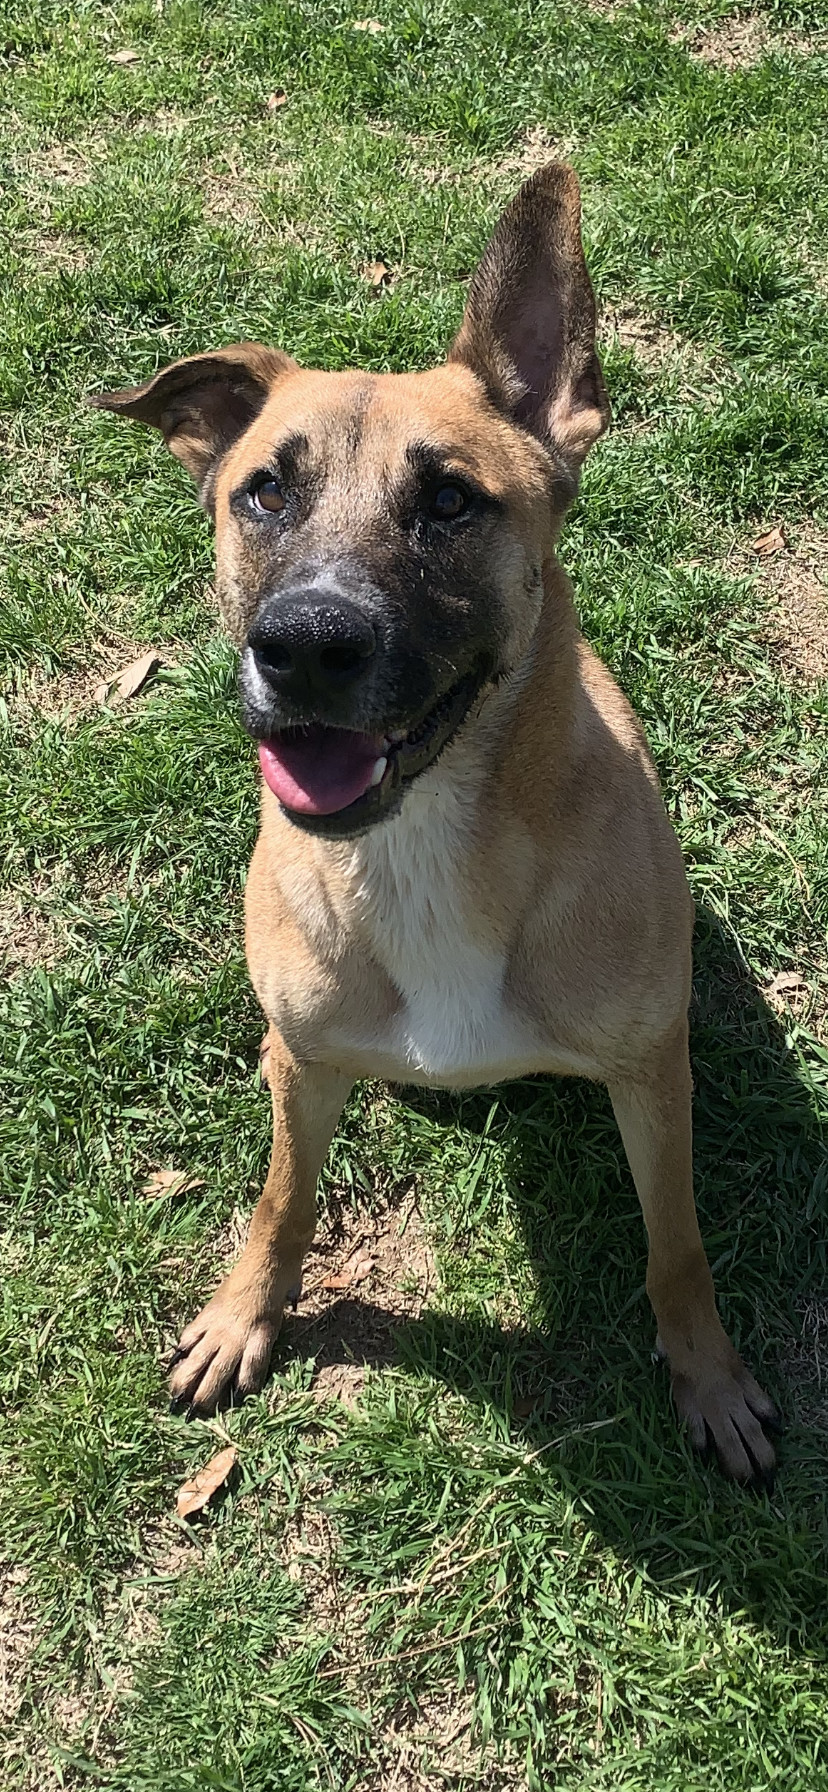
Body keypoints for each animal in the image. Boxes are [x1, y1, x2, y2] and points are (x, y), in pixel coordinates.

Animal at [93, 168, 777, 1483]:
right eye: (265, 490)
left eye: (451, 499)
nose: (306, 644)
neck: (422, 848)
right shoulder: (303, 1063)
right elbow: (281, 1199)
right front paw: (244, 1314)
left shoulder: (650, 1075)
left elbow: (679, 1245)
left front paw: (711, 1378)